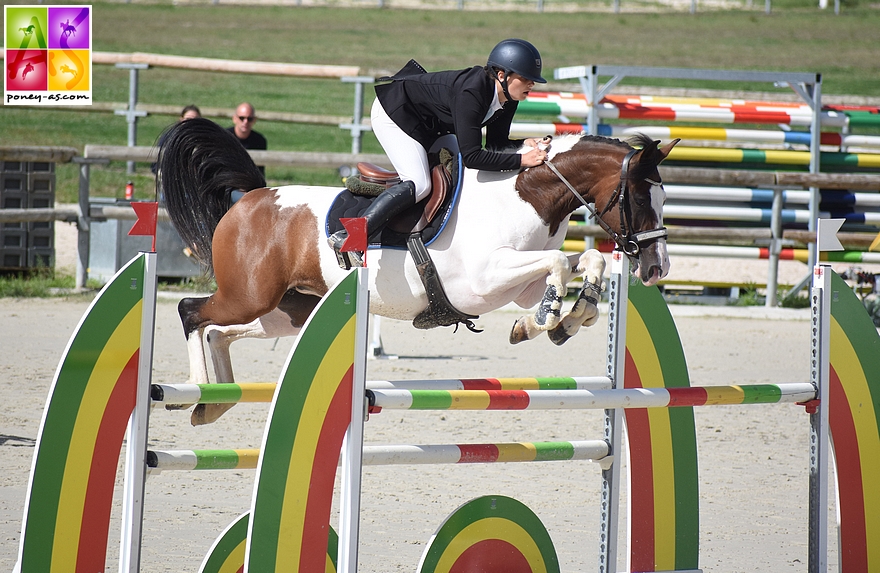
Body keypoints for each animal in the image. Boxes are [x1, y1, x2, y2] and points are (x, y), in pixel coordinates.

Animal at [160, 118, 680, 424]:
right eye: (640, 197)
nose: (657, 268)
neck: (527, 194)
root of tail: (251, 197)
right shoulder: (486, 279)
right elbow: (557, 264)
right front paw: (544, 322)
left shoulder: (521, 284)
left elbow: (585, 261)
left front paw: (564, 321)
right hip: (249, 295)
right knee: (191, 312)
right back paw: (190, 395)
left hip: (291, 310)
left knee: (219, 331)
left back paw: (215, 400)